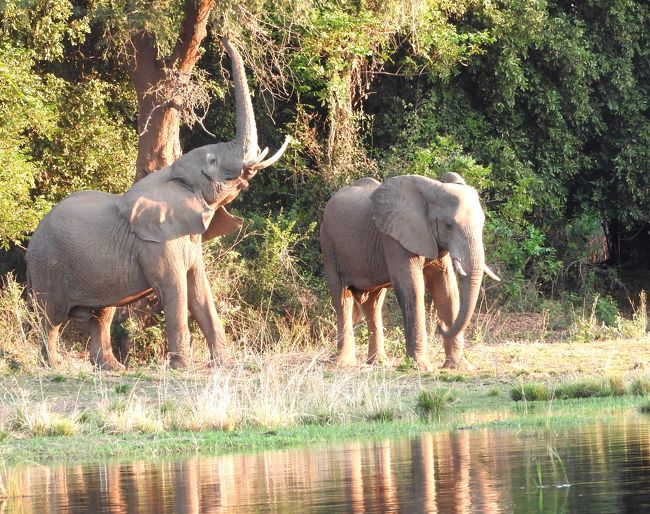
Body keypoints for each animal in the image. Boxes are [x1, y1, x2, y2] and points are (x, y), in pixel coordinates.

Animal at [26, 38, 288, 370]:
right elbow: (176, 291)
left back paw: (112, 368)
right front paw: (183, 368)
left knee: (101, 313)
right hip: (47, 262)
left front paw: (224, 365)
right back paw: (53, 366)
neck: (173, 174)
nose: (222, 34)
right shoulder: (157, 244)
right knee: (51, 317)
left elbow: (200, 292)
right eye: (212, 162)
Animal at [318, 172, 496, 368]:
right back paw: (344, 363)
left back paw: (378, 363)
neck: (432, 191)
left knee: (374, 303)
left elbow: (446, 290)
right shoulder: (394, 238)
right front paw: (421, 367)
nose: (440, 326)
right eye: (449, 225)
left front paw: (457, 366)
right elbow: (413, 288)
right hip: (328, 245)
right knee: (342, 298)